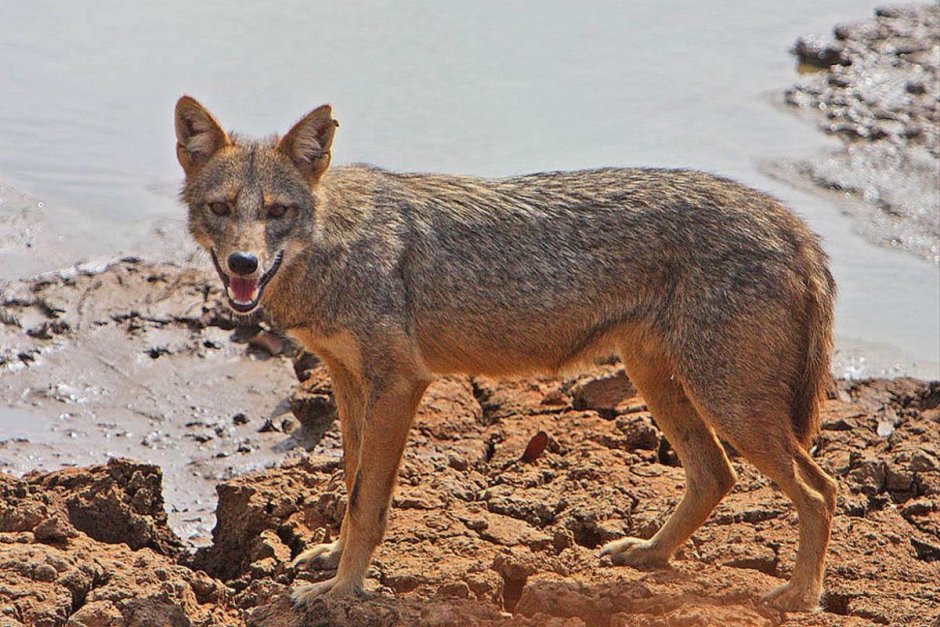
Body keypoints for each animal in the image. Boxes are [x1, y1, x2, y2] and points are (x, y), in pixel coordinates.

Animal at [174, 95, 838, 612]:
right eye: (221, 209)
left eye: (278, 212)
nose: (243, 264)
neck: (338, 243)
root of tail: (789, 221)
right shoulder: (349, 380)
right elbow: (352, 480)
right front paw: (334, 563)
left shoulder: (399, 383)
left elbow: (366, 502)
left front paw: (341, 591)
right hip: (664, 384)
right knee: (715, 474)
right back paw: (649, 554)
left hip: (729, 403)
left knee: (819, 490)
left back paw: (800, 596)